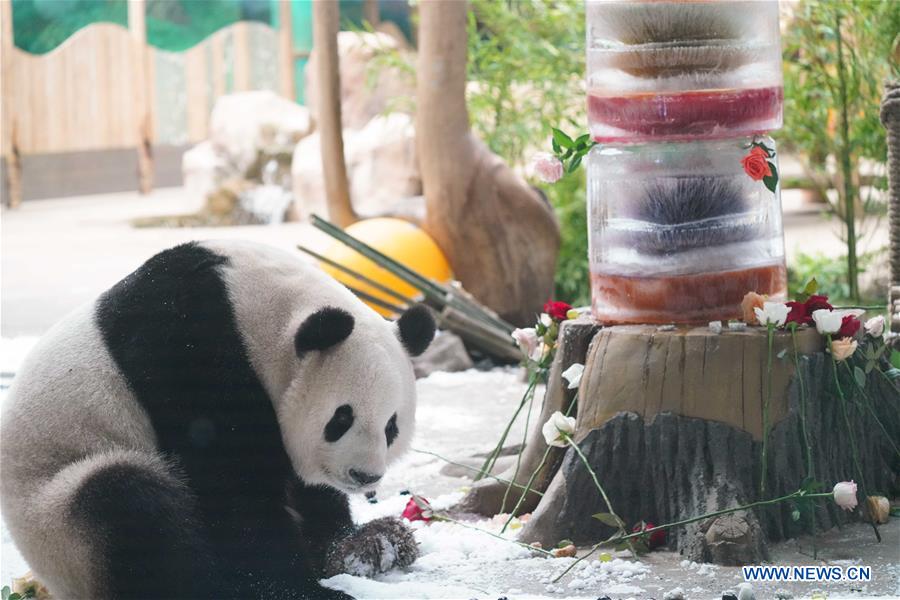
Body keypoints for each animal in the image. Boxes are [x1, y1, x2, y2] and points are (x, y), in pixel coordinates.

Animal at [0, 240, 436, 600]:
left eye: (392, 427)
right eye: (341, 418)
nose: (364, 476)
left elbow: (303, 488)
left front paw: (358, 547)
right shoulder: (185, 342)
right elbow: (229, 484)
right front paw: (301, 589)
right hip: (57, 520)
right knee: (126, 503)